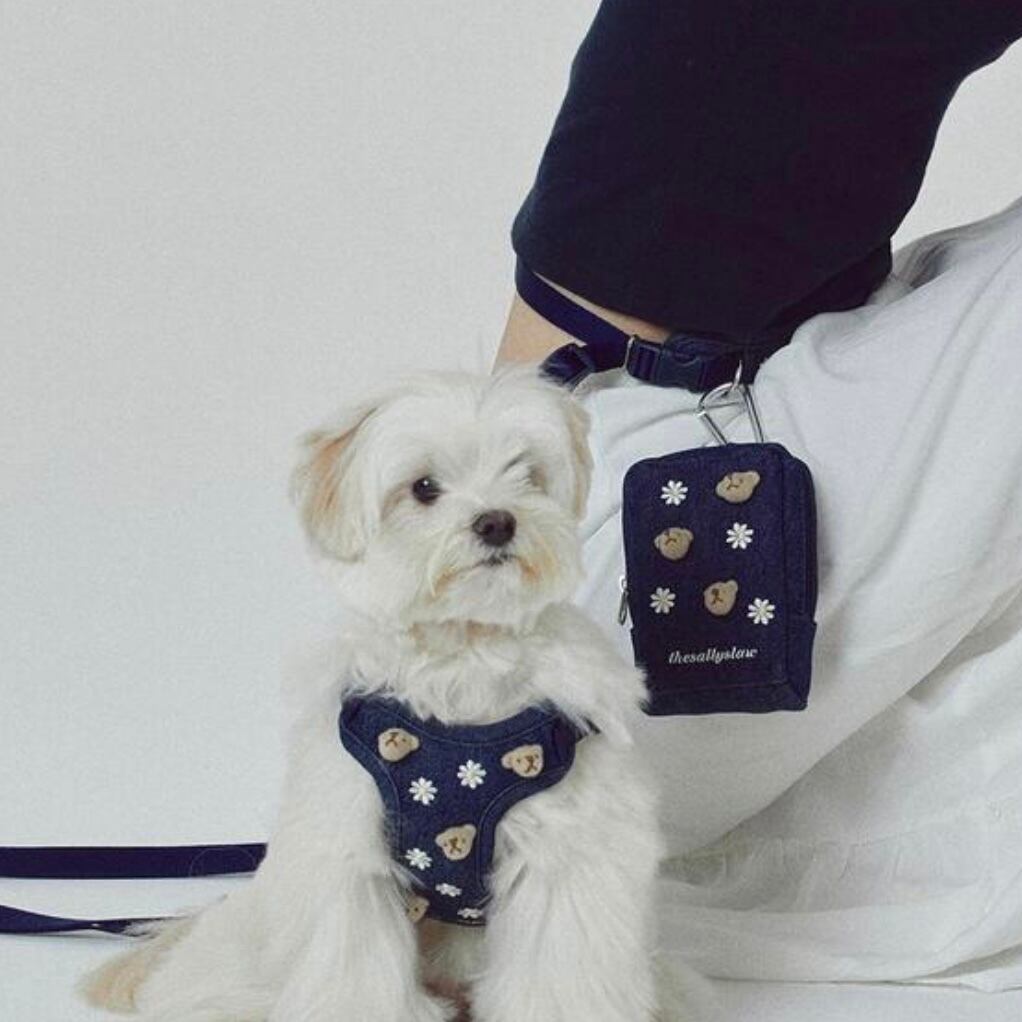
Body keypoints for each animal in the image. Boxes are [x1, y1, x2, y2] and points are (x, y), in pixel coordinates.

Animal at [81, 365, 684, 1022]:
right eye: (423, 488)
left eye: (526, 474)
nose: (497, 520)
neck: (463, 657)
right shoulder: (349, 853)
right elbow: (356, 976)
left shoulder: (567, 854)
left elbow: (557, 976)